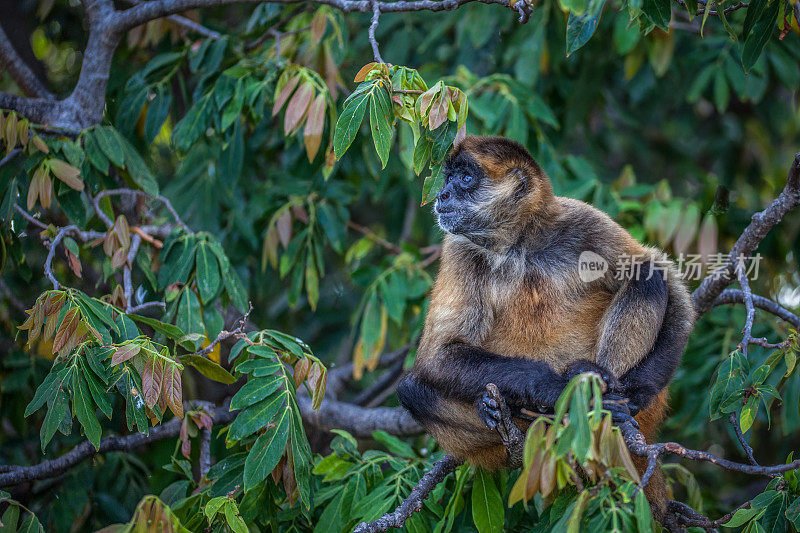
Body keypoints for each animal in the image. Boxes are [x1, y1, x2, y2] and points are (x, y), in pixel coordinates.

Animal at [398, 134, 692, 516]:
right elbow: (438, 354)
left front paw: (634, 393)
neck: (519, 243)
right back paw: (510, 409)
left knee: (648, 277)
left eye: (465, 178)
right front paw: (556, 391)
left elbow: (660, 272)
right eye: (448, 178)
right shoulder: (459, 246)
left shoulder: (580, 219)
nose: (442, 195)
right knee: (412, 389)